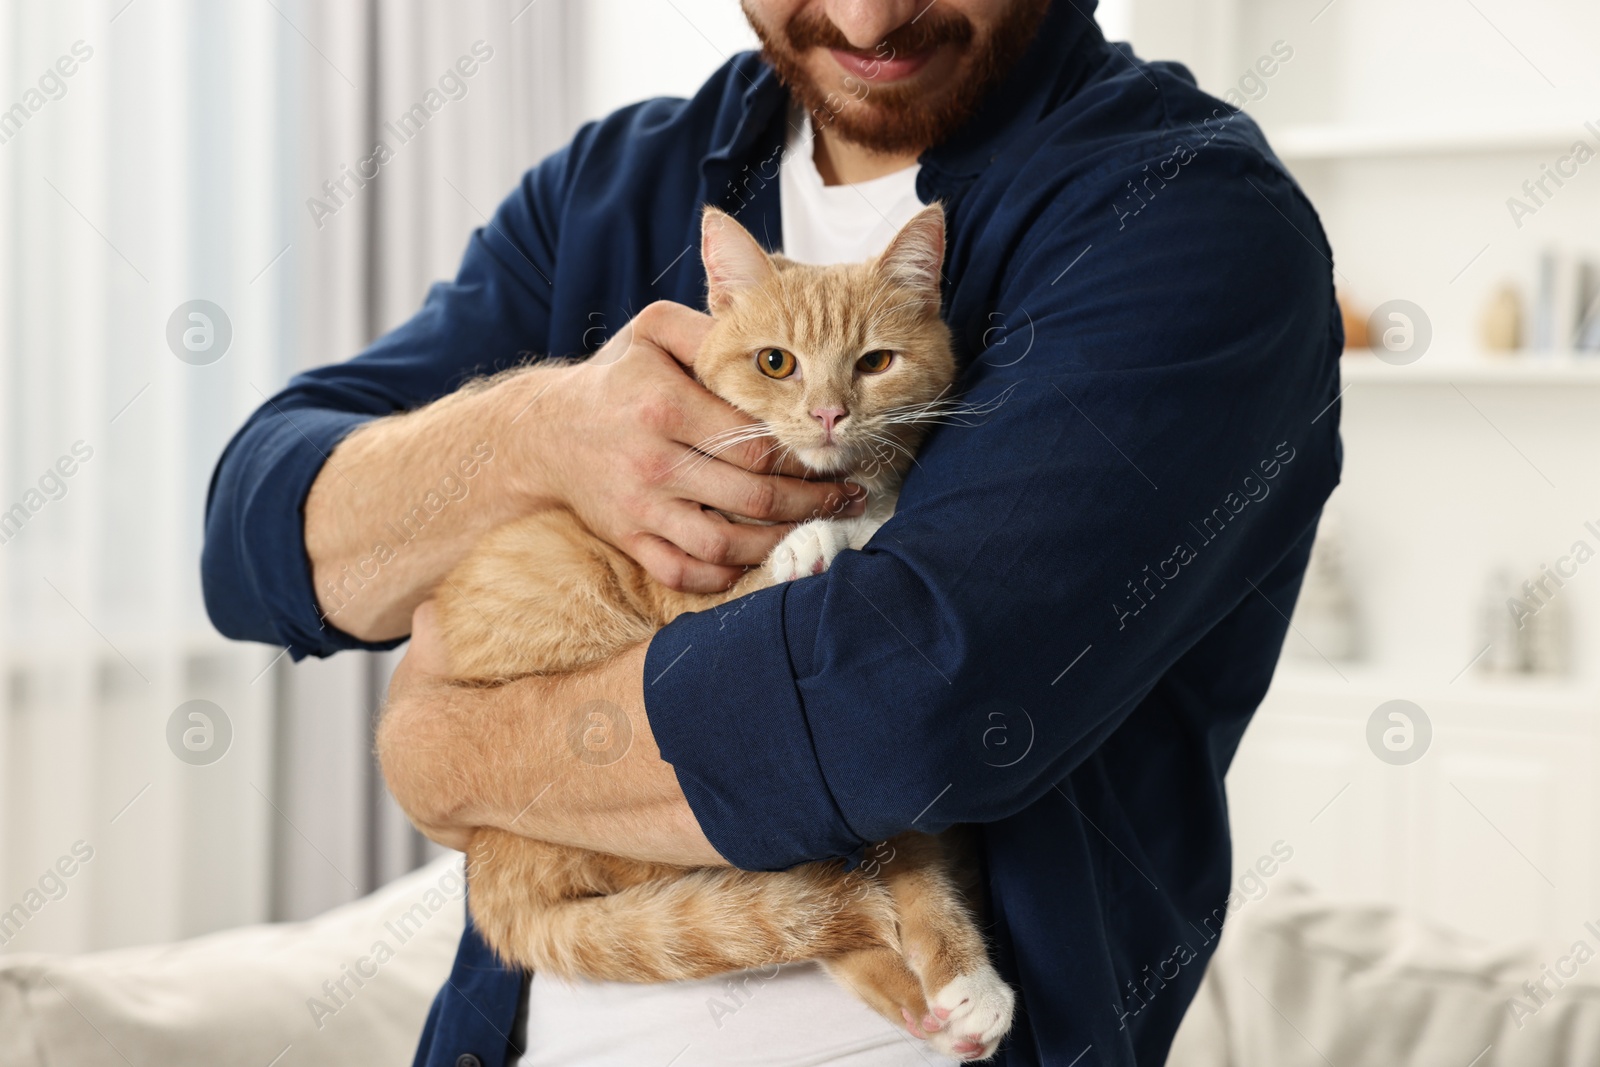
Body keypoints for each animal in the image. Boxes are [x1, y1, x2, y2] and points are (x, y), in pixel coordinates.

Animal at [432, 202, 1017, 1062]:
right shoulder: (682, 615)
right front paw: (817, 541)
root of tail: (491, 868)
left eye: (875, 362)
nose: (828, 412)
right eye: (777, 362)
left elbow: (912, 851)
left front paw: (962, 972)